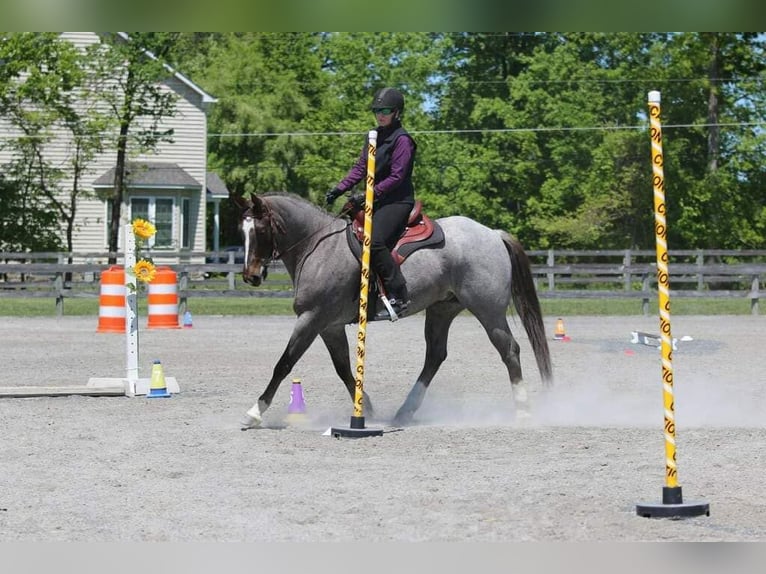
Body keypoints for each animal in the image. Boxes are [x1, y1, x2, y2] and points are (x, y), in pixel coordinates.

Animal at [231, 191, 556, 430]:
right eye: (241, 231)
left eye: (260, 229)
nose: (251, 276)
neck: (319, 247)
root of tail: (492, 233)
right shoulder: (329, 326)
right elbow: (343, 368)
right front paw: (367, 407)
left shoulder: (311, 319)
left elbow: (284, 364)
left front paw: (254, 412)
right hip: (442, 310)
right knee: (435, 356)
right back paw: (404, 412)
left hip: (488, 310)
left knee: (509, 349)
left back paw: (523, 412)